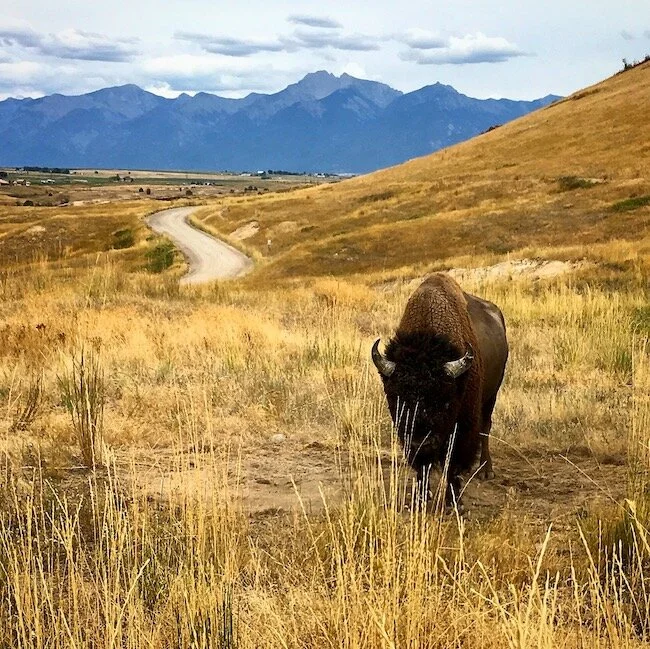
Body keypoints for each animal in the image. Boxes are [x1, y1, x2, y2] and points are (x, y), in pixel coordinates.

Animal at [372, 273, 508, 511]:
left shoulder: (462, 426)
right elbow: (422, 468)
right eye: (397, 398)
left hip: (491, 396)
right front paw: (421, 497)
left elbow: (453, 463)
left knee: (485, 428)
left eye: (444, 400)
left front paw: (454, 502)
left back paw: (486, 470)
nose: (421, 443)